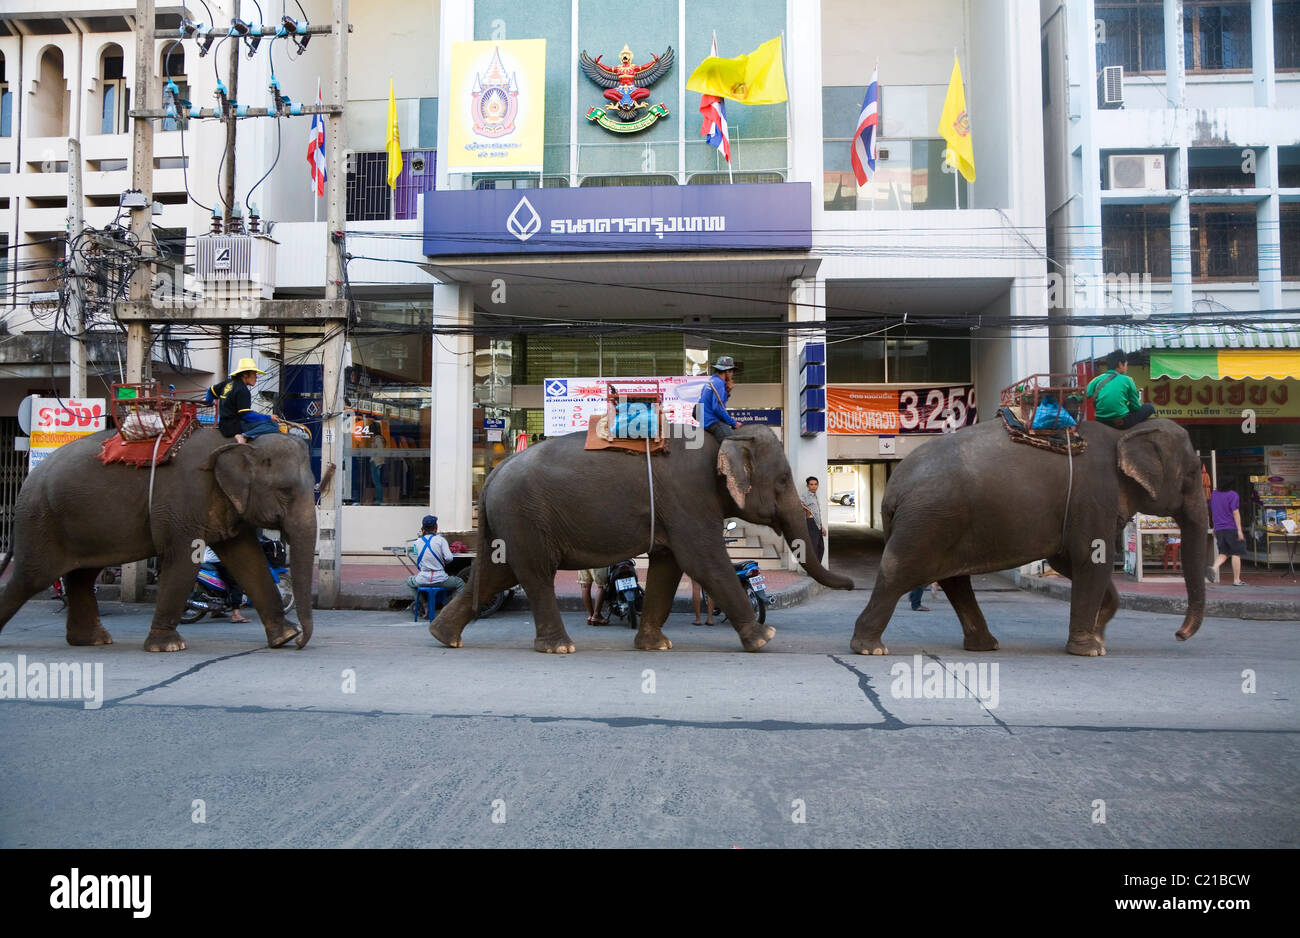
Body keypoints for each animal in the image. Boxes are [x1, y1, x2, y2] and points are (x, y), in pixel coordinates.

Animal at [0, 428, 317, 652]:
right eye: (285, 491)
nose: (302, 644)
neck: (238, 443)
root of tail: (27, 481)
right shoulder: (182, 502)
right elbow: (184, 560)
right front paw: (169, 646)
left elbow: (248, 559)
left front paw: (284, 637)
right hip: (42, 522)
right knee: (31, 578)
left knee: (81, 577)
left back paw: (94, 641)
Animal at [431, 424, 855, 654]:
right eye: (783, 480)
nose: (852, 584)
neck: (727, 436)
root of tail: (491, 476)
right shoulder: (688, 497)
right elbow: (704, 561)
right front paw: (765, 638)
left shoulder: (675, 508)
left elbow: (669, 565)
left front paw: (656, 646)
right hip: (525, 517)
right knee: (533, 574)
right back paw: (559, 647)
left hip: (514, 524)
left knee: (499, 572)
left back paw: (443, 636)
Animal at [851, 418, 1208, 657]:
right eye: (1192, 474)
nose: (1178, 635)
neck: (1124, 434)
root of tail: (895, 487)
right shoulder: (1094, 500)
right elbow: (1091, 559)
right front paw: (1090, 649)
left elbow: (1068, 562)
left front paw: (1099, 638)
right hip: (929, 520)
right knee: (900, 572)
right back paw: (870, 649)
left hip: (942, 521)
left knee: (955, 581)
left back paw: (985, 646)